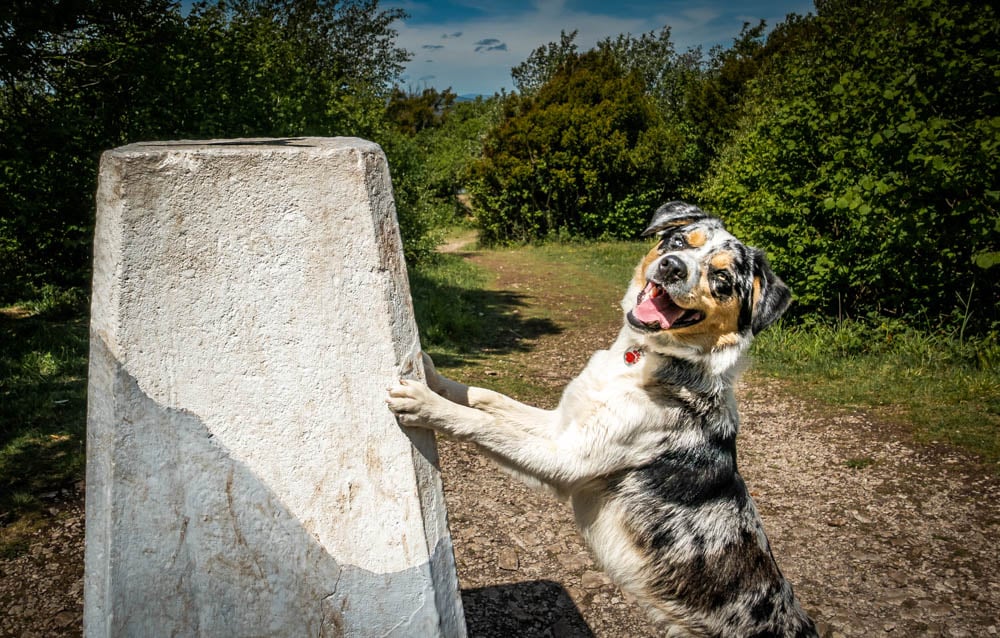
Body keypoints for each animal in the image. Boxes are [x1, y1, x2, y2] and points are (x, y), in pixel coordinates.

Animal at [386, 202, 816, 636]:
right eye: (679, 242)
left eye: (722, 279)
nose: (672, 267)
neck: (640, 360)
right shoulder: (561, 425)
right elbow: (488, 398)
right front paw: (434, 377)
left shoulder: (567, 460)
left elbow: (486, 424)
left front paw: (424, 402)